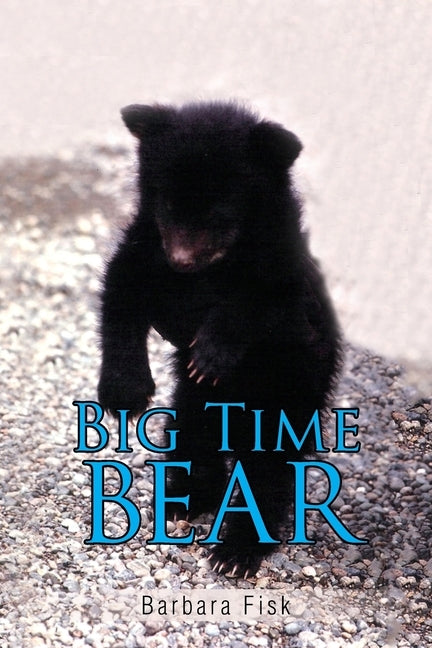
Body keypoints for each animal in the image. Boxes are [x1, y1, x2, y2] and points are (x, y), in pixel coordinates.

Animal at [98, 101, 342, 577]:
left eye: (220, 213)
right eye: (168, 202)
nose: (180, 260)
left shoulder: (285, 276)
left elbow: (258, 304)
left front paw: (211, 354)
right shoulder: (144, 248)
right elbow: (121, 297)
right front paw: (124, 390)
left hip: (289, 397)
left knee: (268, 472)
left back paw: (236, 551)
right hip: (193, 405)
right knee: (194, 438)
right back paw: (184, 500)